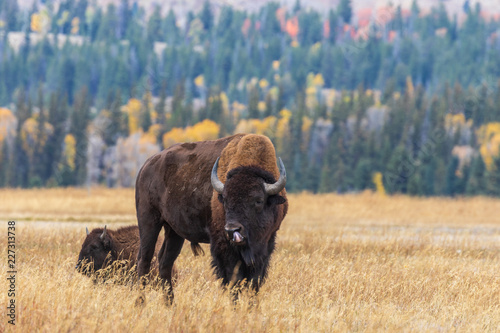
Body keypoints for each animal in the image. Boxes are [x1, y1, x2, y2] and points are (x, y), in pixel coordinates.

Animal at [137, 133, 288, 300]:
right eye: (225, 199)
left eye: (258, 200)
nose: (232, 230)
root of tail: (146, 166)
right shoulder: (224, 247)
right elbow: (233, 280)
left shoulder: (266, 245)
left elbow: (254, 283)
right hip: (148, 222)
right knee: (144, 260)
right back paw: (141, 302)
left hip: (174, 232)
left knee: (165, 262)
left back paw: (170, 303)